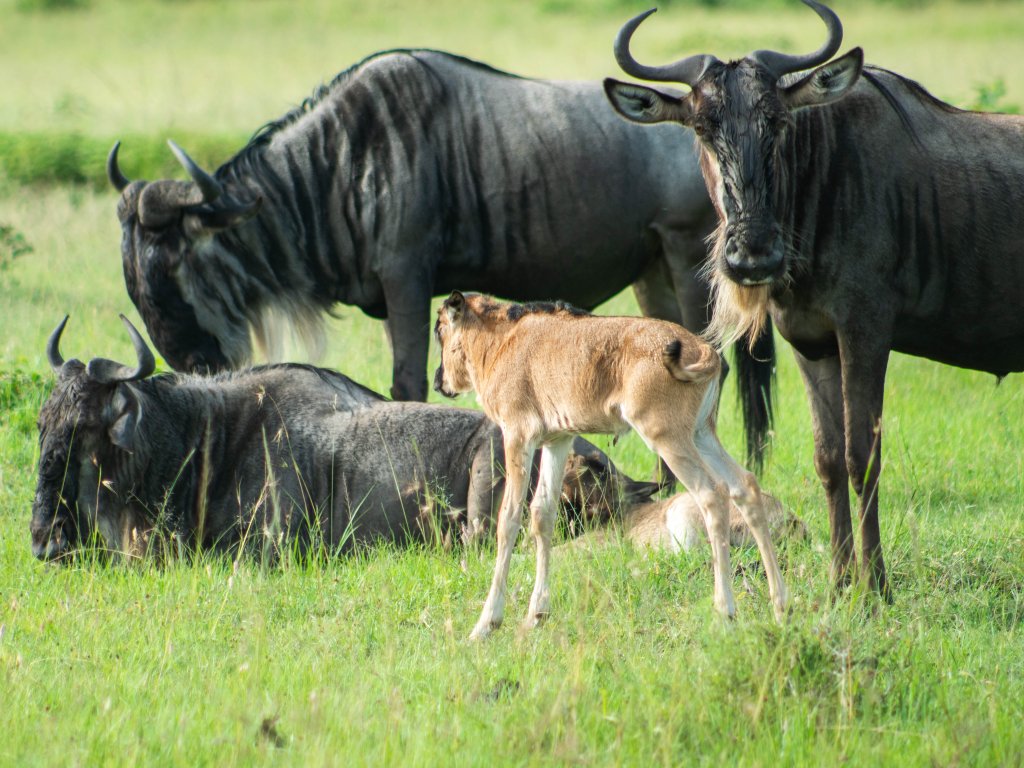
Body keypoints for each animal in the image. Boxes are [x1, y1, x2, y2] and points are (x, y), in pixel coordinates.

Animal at [436, 290, 786, 638]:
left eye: (440, 330)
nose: (440, 382)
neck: (503, 338)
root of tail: (705, 351)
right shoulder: (557, 440)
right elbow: (542, 514)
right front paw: (536, 614)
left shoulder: (518, 435)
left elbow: (508, 520)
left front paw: (486, 624)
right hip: (701, 434)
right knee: (744, 486)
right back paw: (780, 606)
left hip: (668, 438)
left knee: (712, 495)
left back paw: (724, 611)